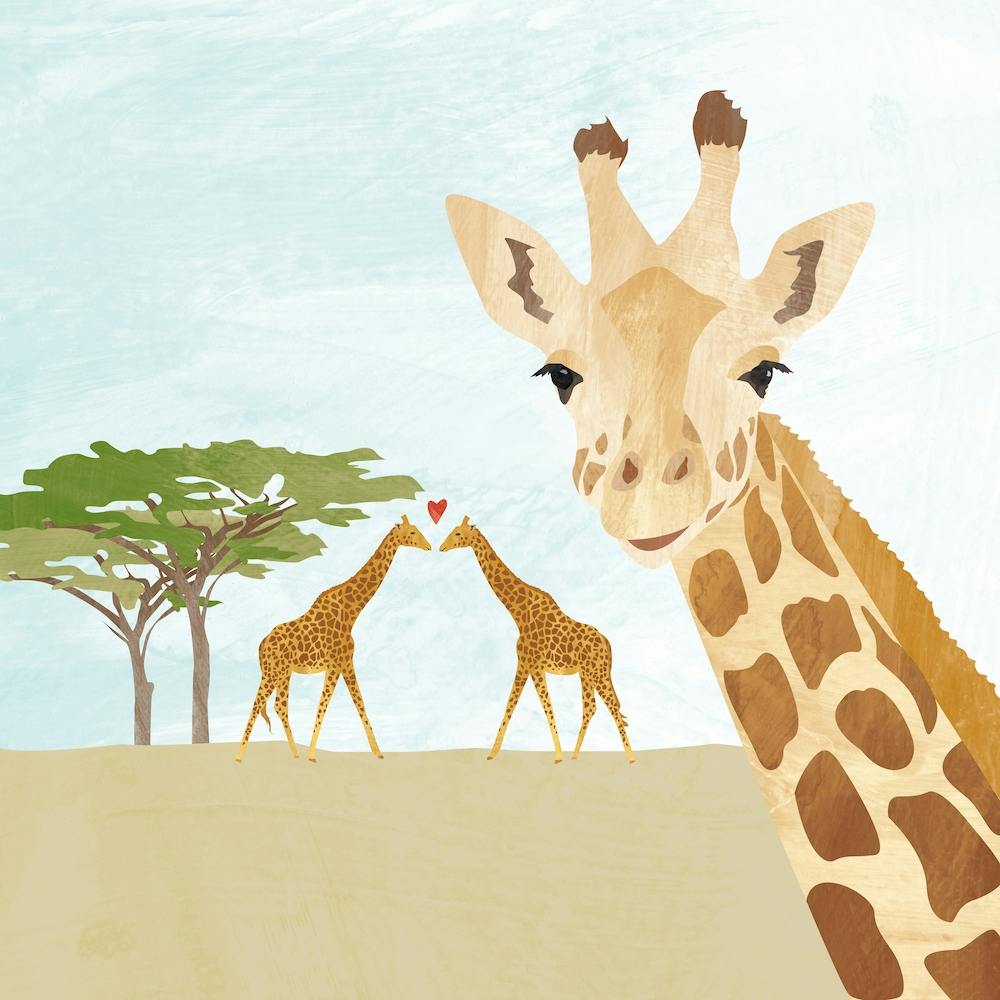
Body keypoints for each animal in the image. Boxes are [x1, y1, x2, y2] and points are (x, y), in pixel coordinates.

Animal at [234, 515, 431, 763]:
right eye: (412, 532)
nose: (428, 546)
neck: (351, 611)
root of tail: (262, 643)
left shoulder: (346, 662)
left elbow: (359, 703)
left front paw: (378, 752)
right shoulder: (337, 663)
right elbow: (325, 704)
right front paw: (312, 755)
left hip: (284, 673)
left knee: (280, 706)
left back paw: (295, 753)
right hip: (272, 672)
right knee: (257, 704)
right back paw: (239, 757)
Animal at [441, 515, 634, 763]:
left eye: (457, 533)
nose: (442, 547)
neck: (519, 613)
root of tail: (607, 642)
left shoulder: (533, 664)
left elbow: (545, 706)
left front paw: (557, 756)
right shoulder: (524, 664)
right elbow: (511, 704)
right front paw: (492, 753)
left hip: (597, 673)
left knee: (611, 707)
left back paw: (631, 758)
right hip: (586, 674)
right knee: (591, 708)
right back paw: (575, 756)